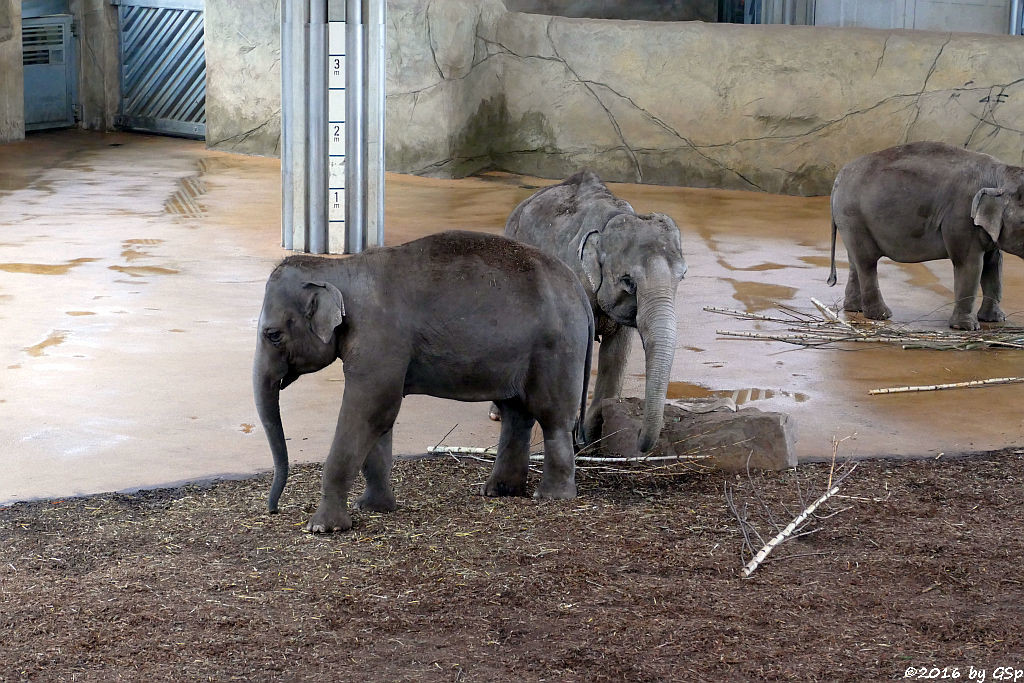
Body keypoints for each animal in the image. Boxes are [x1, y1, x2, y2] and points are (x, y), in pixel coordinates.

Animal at [250, 229, 598, 532]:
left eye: (273, 334)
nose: (273, 510)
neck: (341, 270)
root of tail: (578, 288)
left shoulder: (380, 339)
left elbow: (370, 409)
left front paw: (322, 527)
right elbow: (380, 418)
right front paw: (374, 507)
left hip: (556, 348)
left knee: (552, 416)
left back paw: (550, 496)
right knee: (515, 413)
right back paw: (498, 491)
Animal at [495, 171, 688, 454]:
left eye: (682, 276)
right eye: (628, 281)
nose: (639, 437)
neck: (611, 221)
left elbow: (616, 354)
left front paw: (591, 441)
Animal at [827, 141, 1024, 331]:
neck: (999, 175)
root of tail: (837, 180)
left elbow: (994, 265)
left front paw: (995, 320)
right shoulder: (961, 217)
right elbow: (970, 265)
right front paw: (966, 328)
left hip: (850, 221)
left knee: (855, 261)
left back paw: (855, 309)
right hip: (853, 216)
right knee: (867, 262)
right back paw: (881, 315)